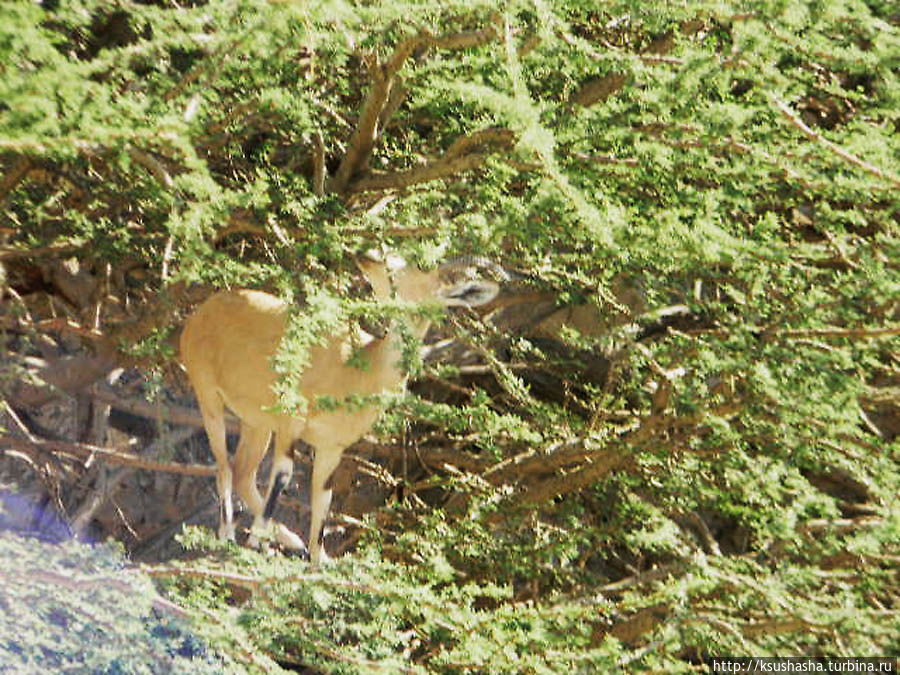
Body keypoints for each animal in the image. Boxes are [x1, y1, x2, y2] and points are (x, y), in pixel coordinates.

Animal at [179, 248, 502, 564]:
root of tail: (202, 312)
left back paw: (287, 538)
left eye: (419, 265)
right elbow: (283, 475)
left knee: (243, 472)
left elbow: (323, 499)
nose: (369, 255)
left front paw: (318, 558)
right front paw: (257, 541)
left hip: (256, 423)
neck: (357, 370)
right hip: (208, 395)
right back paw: (229, 535)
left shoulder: (331, 448)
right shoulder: (291, 421)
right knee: (224, 467)